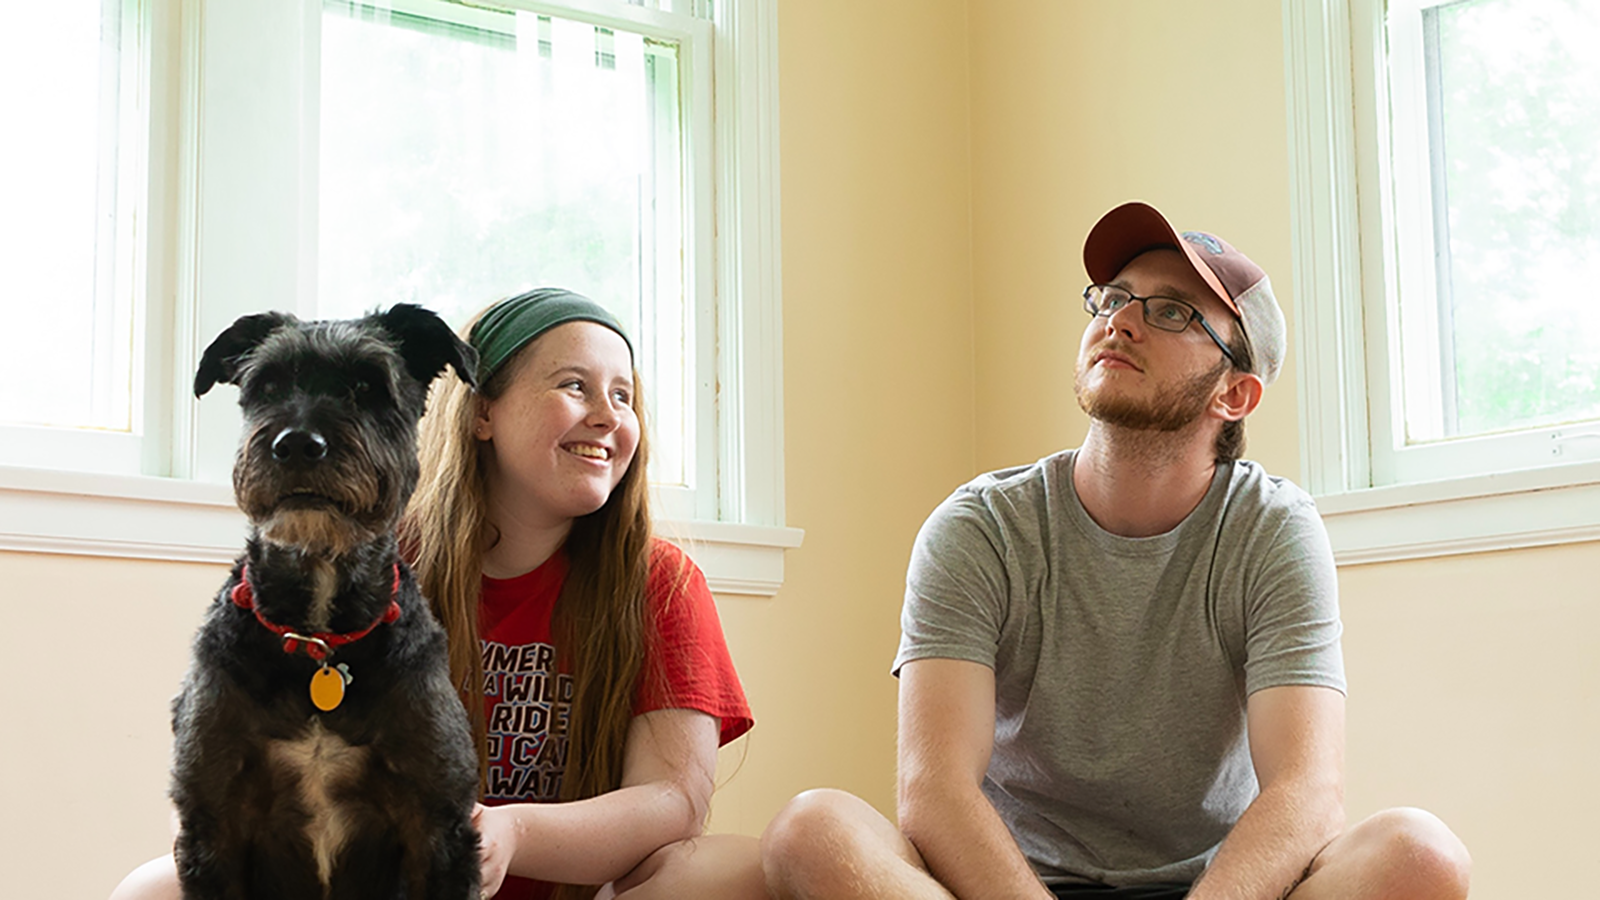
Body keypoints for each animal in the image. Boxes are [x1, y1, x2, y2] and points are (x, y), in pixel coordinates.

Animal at [177, 304, 480, 890]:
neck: (317, 640)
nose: (296, 444)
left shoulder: (437, 828)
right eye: (267, 385)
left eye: (366, 386)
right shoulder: (213, 824)